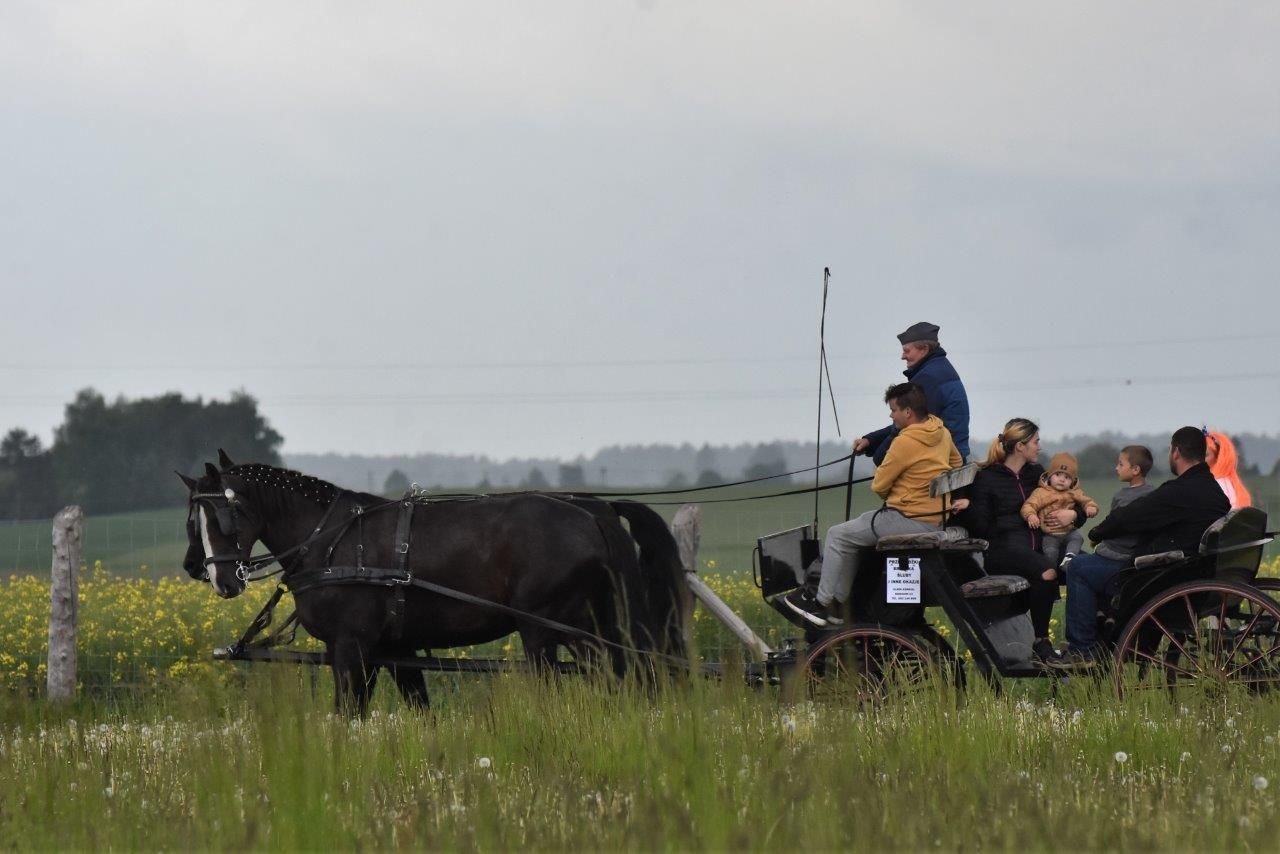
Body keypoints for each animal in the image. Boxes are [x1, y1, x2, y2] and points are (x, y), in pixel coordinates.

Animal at [180, 453, 691, 717]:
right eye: (192, 518)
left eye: (221, 515)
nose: (211, 575)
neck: (330, 541)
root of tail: (592, 510)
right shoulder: (393, 649)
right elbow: (417, 709)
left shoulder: (350, 647)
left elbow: (347, 715)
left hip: (552, 629)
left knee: (613, 678)